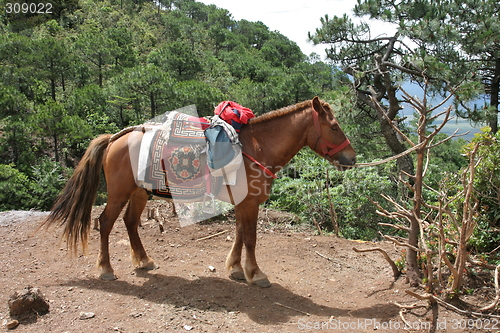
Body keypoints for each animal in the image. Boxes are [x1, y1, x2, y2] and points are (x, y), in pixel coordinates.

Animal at [42, 95, 356, 286]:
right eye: (334, 127)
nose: (352, 158)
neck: (257, 147)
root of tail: (116, 138)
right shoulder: (249, 203)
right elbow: (251, 239)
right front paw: (256, 274)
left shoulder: (242, 203)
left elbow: (239, 234)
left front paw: (236, 269)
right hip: (119, 193)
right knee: (105, 222)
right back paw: (106, 269)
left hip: (139, 193)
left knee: (130, 222)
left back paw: (144, 261)